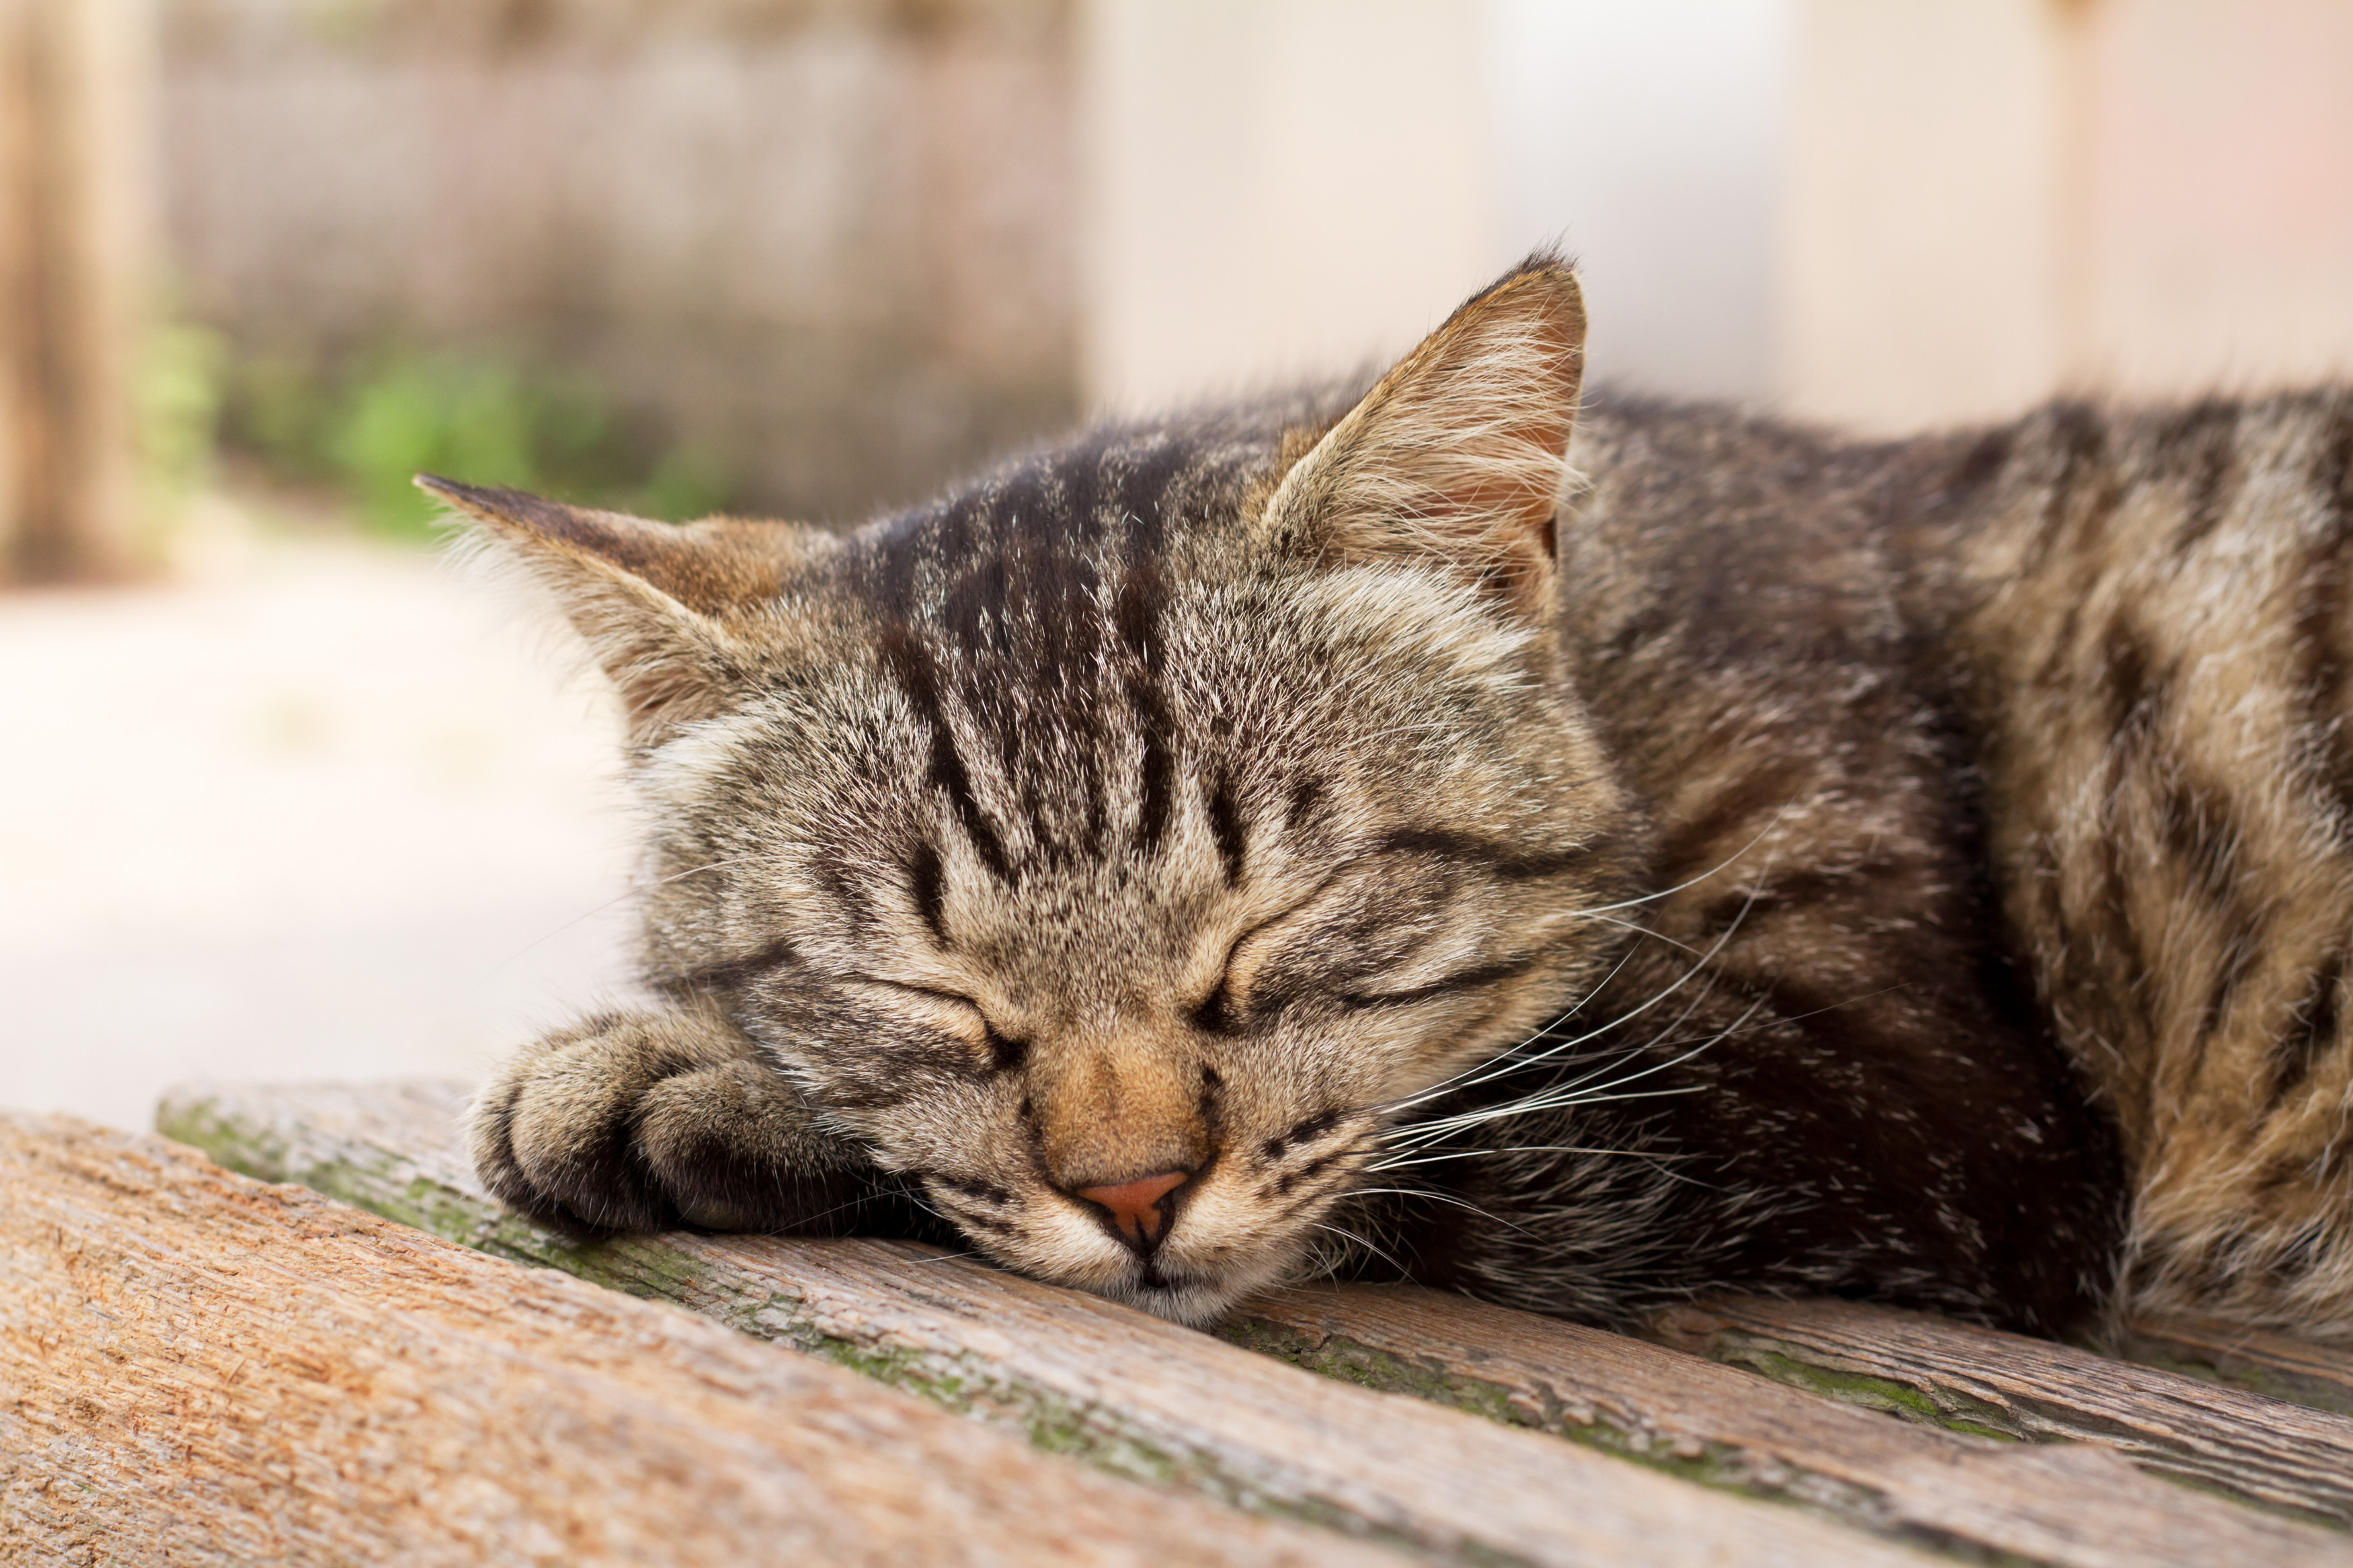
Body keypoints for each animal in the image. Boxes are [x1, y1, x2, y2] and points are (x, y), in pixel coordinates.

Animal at [438, 255, 2353, 1335]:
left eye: (1271, 924)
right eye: (930, 990)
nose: (1136, 1194)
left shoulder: (1906, 1109)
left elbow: (1433, 1138)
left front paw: (684, 1077)